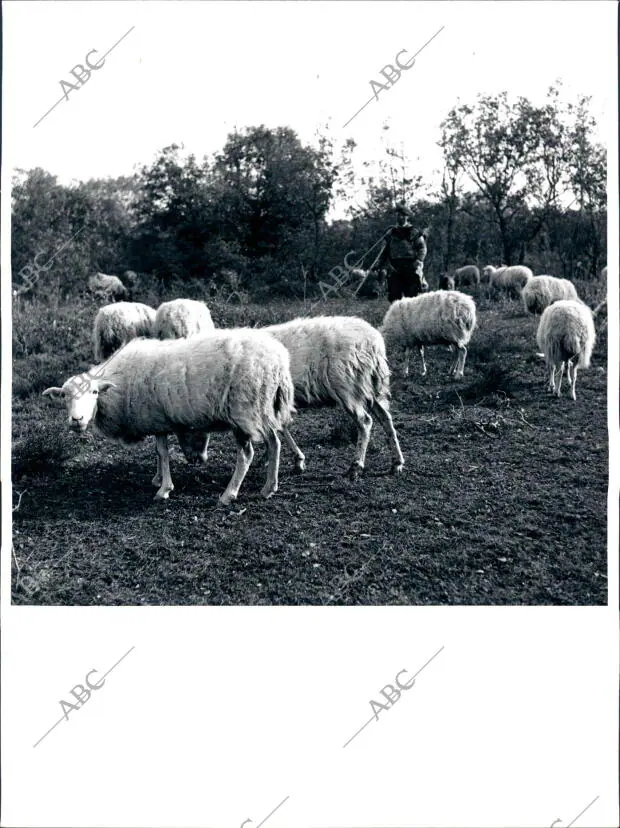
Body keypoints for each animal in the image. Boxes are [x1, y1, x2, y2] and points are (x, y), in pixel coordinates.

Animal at [43, 330, 296, 504]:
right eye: (64, 396)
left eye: (94, 393)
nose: (77, 420)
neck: (119, 386)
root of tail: (279, 360)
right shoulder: (158, 421)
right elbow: (158, 454)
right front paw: (157, 479)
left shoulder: (157, 420)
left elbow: (162, 453)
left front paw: (164, 489)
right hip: (264, 409)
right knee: (275, 443)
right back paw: (269, 488)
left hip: (243, 411)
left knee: (246, 454)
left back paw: (228, 494)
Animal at [264, 318, 404, 486]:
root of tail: (374, 343)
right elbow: (281, 428)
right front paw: (297, 460)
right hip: (368, 386)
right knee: (385, 417)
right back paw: (396, 462)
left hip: (347, 386)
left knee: (365, 421)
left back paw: (356, 467)